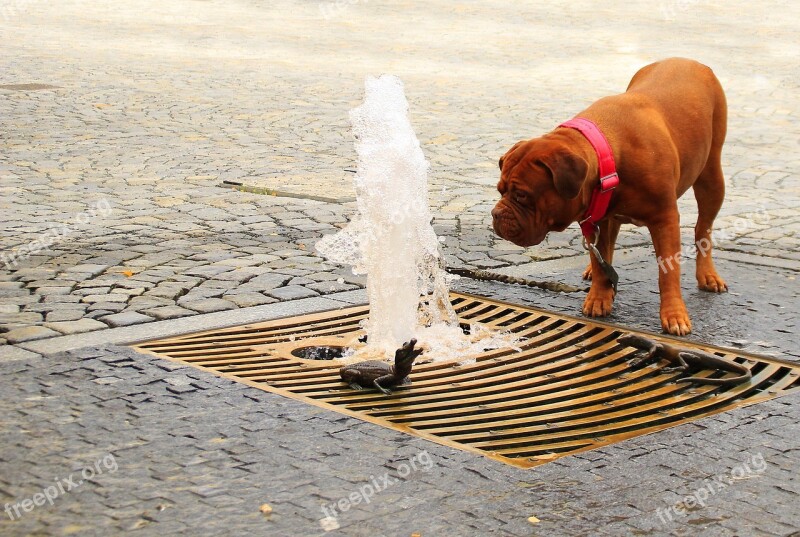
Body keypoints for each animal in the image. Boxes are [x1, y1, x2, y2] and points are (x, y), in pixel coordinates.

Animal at [490, 58, 728, 336]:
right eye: (500, 190)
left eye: (522, 196)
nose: (496, 214)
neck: (609, 153)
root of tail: (689, 60)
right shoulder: (597, 217)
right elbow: (598, 255)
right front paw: (599, 297)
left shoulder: (665, 219)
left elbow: (667, 273)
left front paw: (674, 314)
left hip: (712, 178)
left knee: (703, 228)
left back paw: (707, 274)